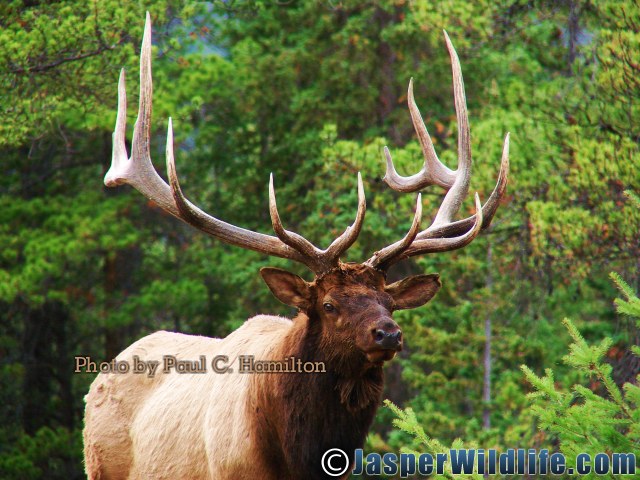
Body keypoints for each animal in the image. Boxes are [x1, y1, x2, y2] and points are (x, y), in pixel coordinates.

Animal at [83, 13, 509, 480]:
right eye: (328, 305)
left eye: (390, 303)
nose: (388, 333)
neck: (300, 456)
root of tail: (104, 370)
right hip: (98, 465)